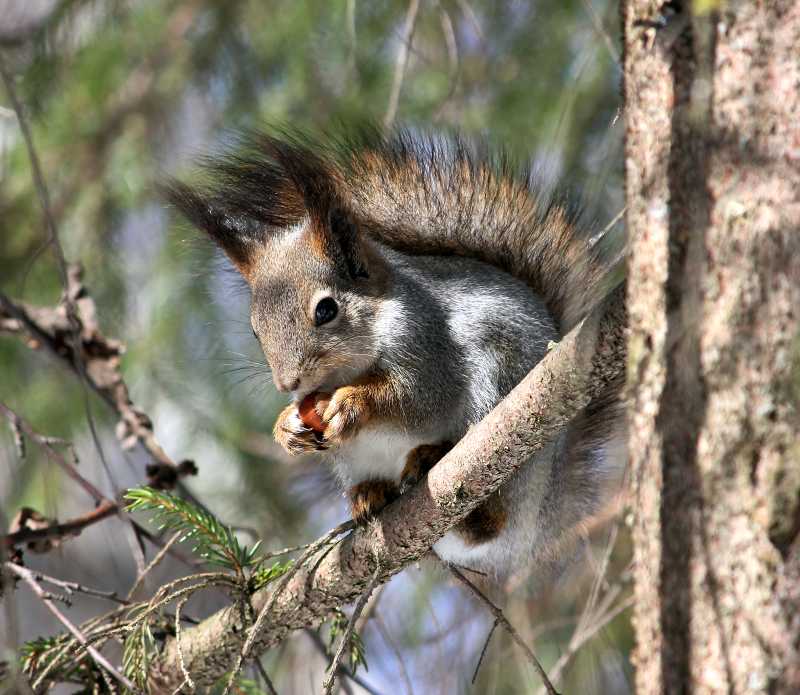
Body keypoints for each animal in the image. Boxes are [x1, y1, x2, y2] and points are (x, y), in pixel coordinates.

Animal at [165, 127, 625, 579]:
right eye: (255, 329)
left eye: (326, 309)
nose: (287, 382)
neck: (350, 367)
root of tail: (543, 511)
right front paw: (287, 427)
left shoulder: (429, 345)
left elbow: (416, 398)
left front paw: (352, 404)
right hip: (355, 459)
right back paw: (370, 494)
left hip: (498, 401)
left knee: (490, 521)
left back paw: (434, 464)